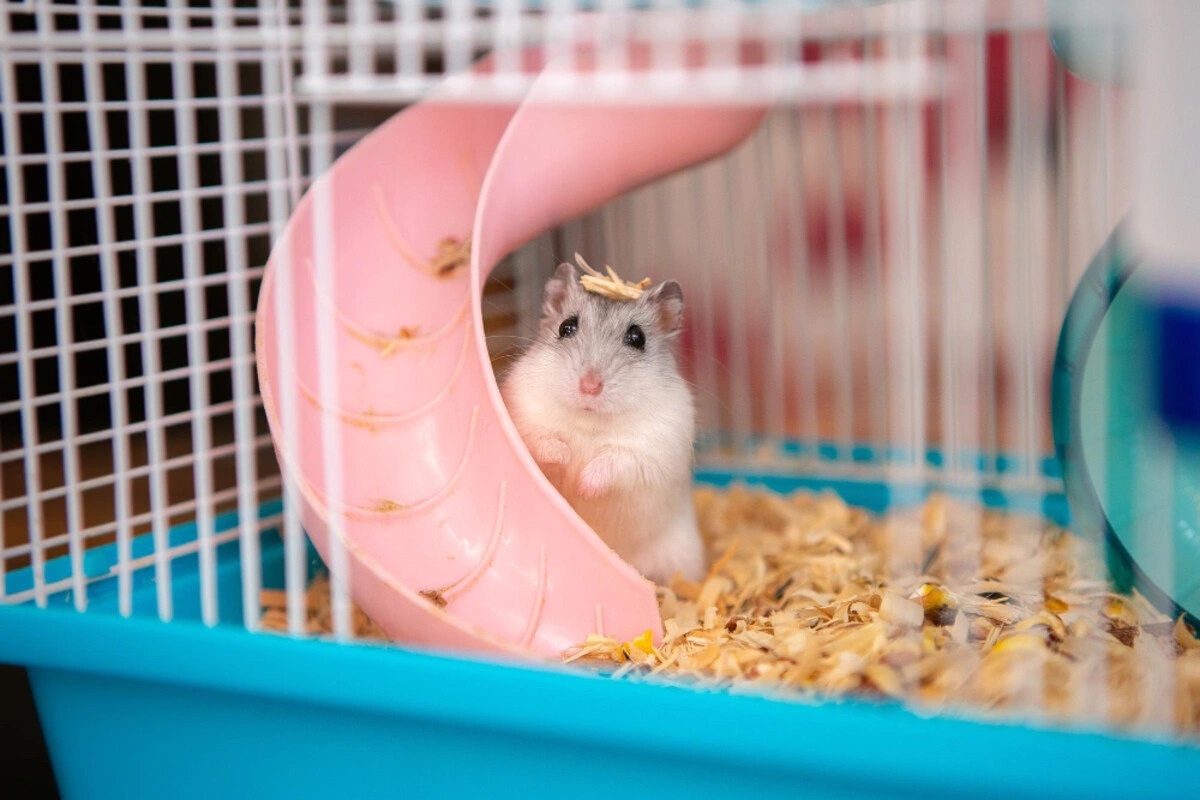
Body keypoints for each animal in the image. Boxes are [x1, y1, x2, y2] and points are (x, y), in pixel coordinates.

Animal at [500, 262, 707, 585]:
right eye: (566, 327)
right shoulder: (527, 419)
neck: (590, 422)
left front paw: (583, 486)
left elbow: (613, 463)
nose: (589, 387)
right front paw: (567, 461)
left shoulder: (648, 453)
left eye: (637, 338)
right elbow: (545, 443)